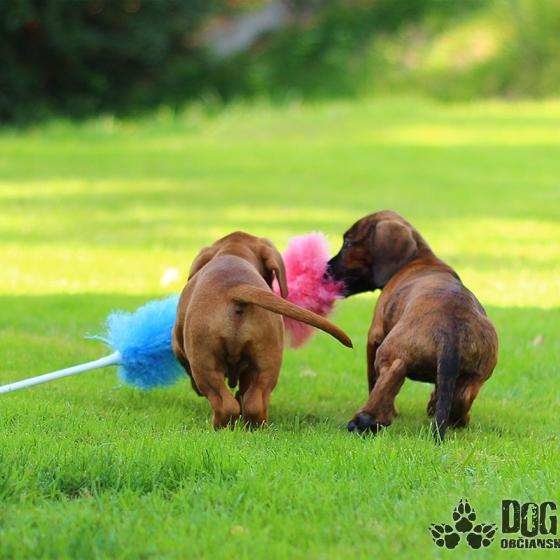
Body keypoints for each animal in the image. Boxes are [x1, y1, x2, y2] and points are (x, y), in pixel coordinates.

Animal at [173, 231, 352, 428]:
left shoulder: (179, 347)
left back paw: (219, 426)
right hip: (266, 362)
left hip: (205, 366)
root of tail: (236, 288)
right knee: (254, 402)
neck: (233, 252)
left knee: (224, 404)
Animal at [327, 210, 498, 441]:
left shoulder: (374, 336)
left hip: (389, 349)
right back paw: (453, 417)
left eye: (347, 243)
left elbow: (372, 379)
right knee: (462, 396)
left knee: (395, 371)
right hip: (476, 375)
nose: (325, 269)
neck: (419, 259)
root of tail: (450, 334)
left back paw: (366, 419)